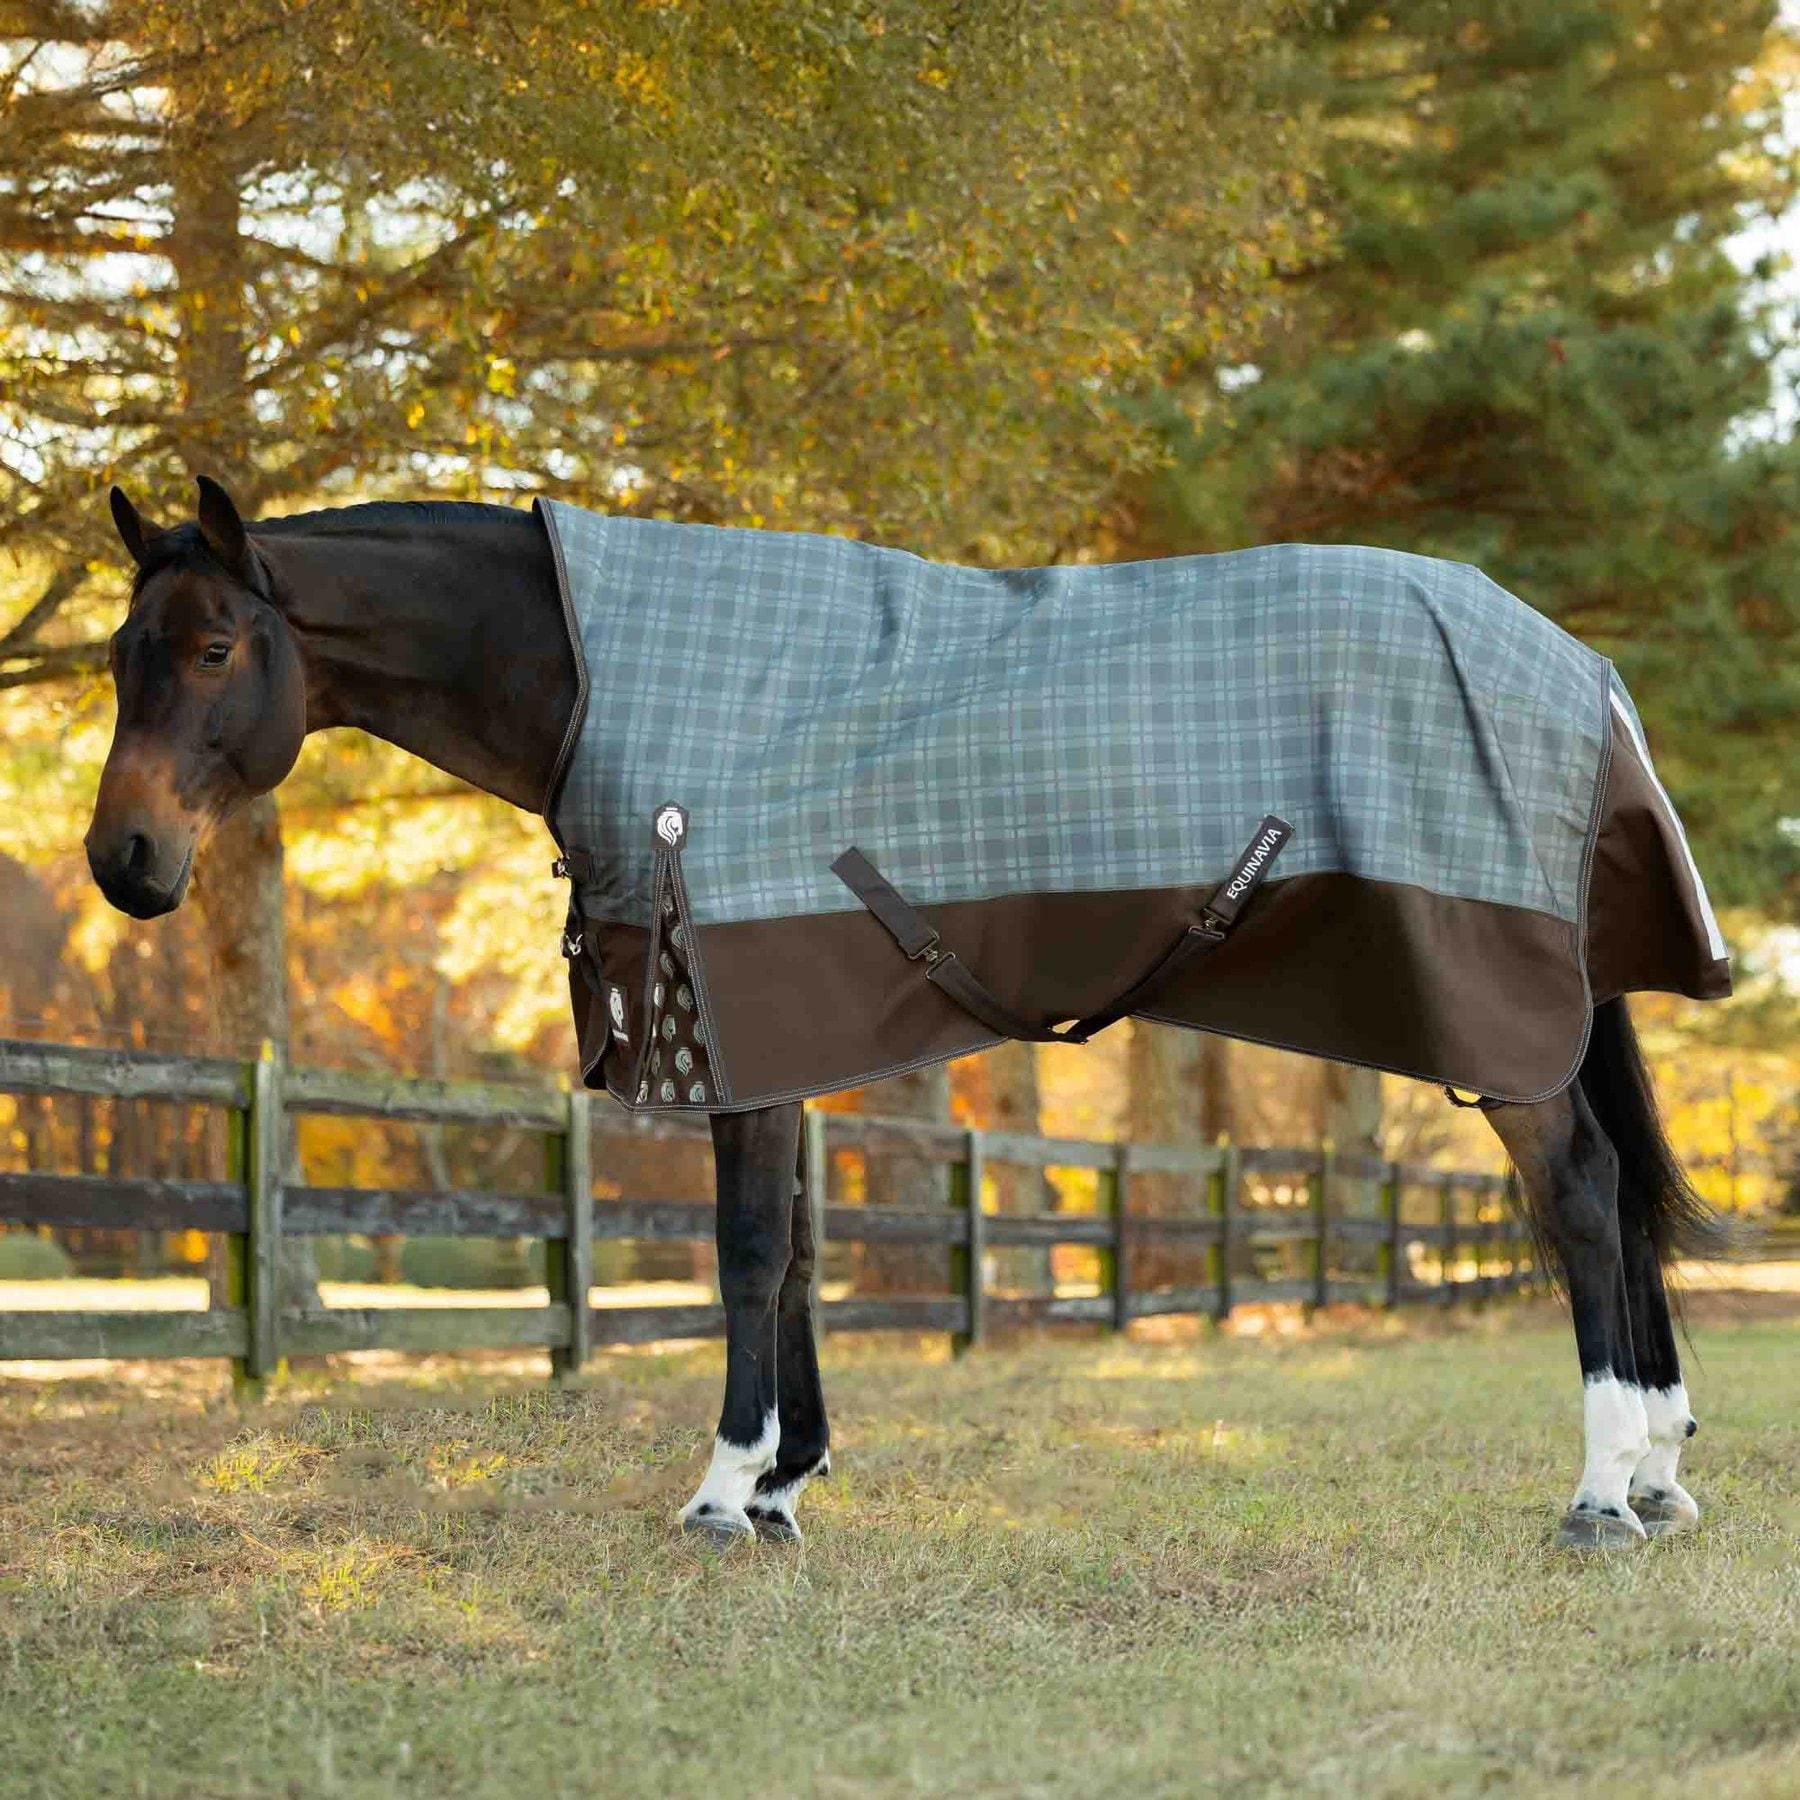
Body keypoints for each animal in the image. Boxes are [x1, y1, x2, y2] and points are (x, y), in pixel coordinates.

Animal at [86, 476, 1725, 1550]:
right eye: (116, 659)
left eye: (216, 648)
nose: (126, 862)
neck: (604, 679)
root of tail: (1577, 667)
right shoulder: (784, 1025)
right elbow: (807, 1255)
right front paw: (789, 1482)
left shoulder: (733, 1022)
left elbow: (750, 1255)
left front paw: (725, 1493)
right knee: (1620, 1206)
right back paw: (1657, 1469)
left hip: (1494, 1019)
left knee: (1583, 1198)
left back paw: (1600, 1492)